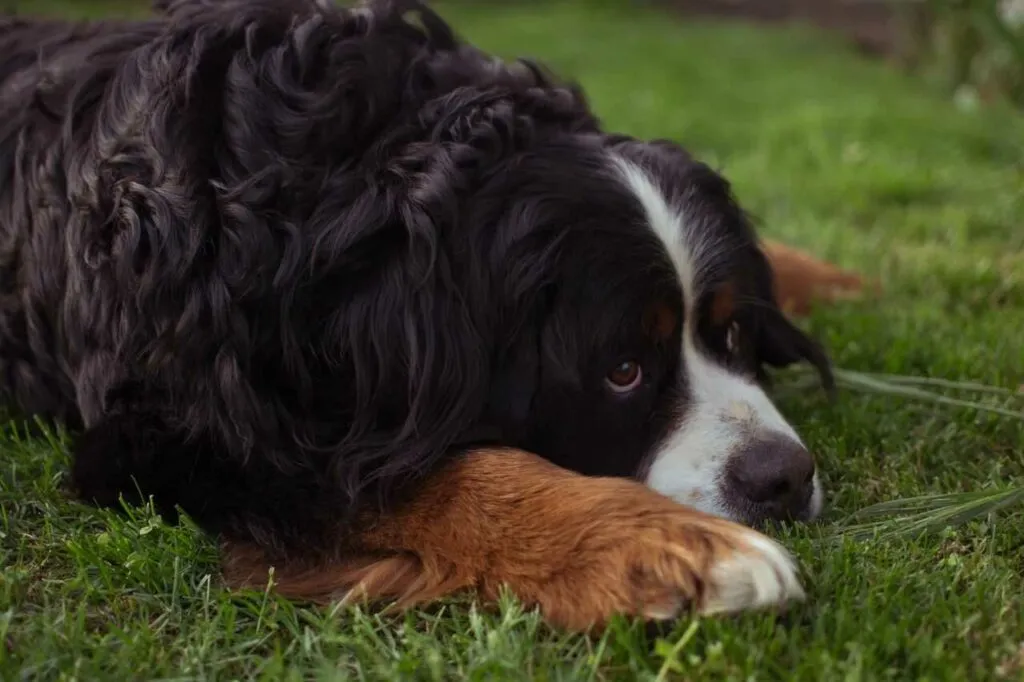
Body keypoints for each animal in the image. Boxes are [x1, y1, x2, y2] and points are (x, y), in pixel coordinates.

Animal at [0, 0, 864, 630]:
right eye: (622, 372)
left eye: (733, 332)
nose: (783, 477)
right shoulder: (196, 434)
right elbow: (454, 476)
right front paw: (679, 550)